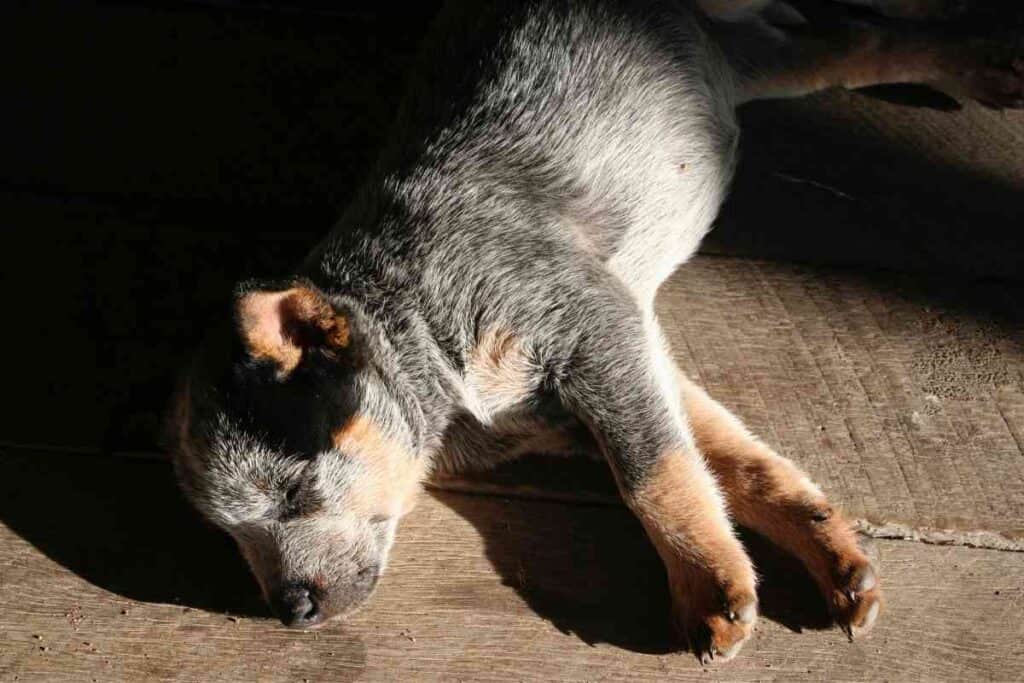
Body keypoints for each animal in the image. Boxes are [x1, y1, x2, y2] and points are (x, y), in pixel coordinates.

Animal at [169, 0, 1024, 663]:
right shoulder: (634, 354)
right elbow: (731, 460)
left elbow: (652, 473)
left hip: (727, 51)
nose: (288, 607)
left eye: (295, 487)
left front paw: (706, 585)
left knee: (857, 36)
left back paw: (978, 62)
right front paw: (832, 553)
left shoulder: (591, 323)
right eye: (228, 532)